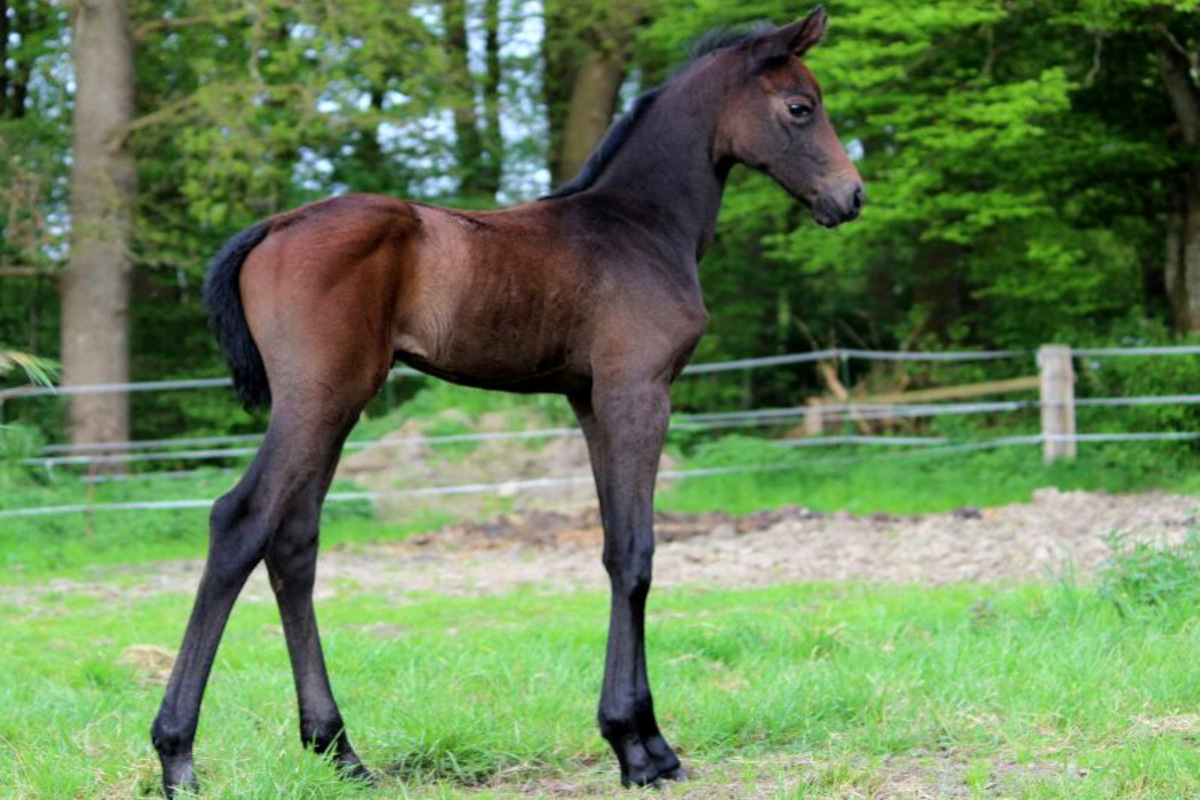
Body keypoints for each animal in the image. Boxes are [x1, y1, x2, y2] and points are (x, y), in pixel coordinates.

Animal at [150, 7, 863, 795]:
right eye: (800, 107)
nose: (851, 196)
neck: (639, 226)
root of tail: (274, 226)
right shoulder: (638, 393)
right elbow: (639, 553)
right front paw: (642, 748)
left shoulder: (590, 400)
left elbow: (613, 547)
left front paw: (633, 736)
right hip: (319, 399)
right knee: (240, 522)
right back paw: (178, 756)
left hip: (333, 406)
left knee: (294, 543)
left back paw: (339, 749)